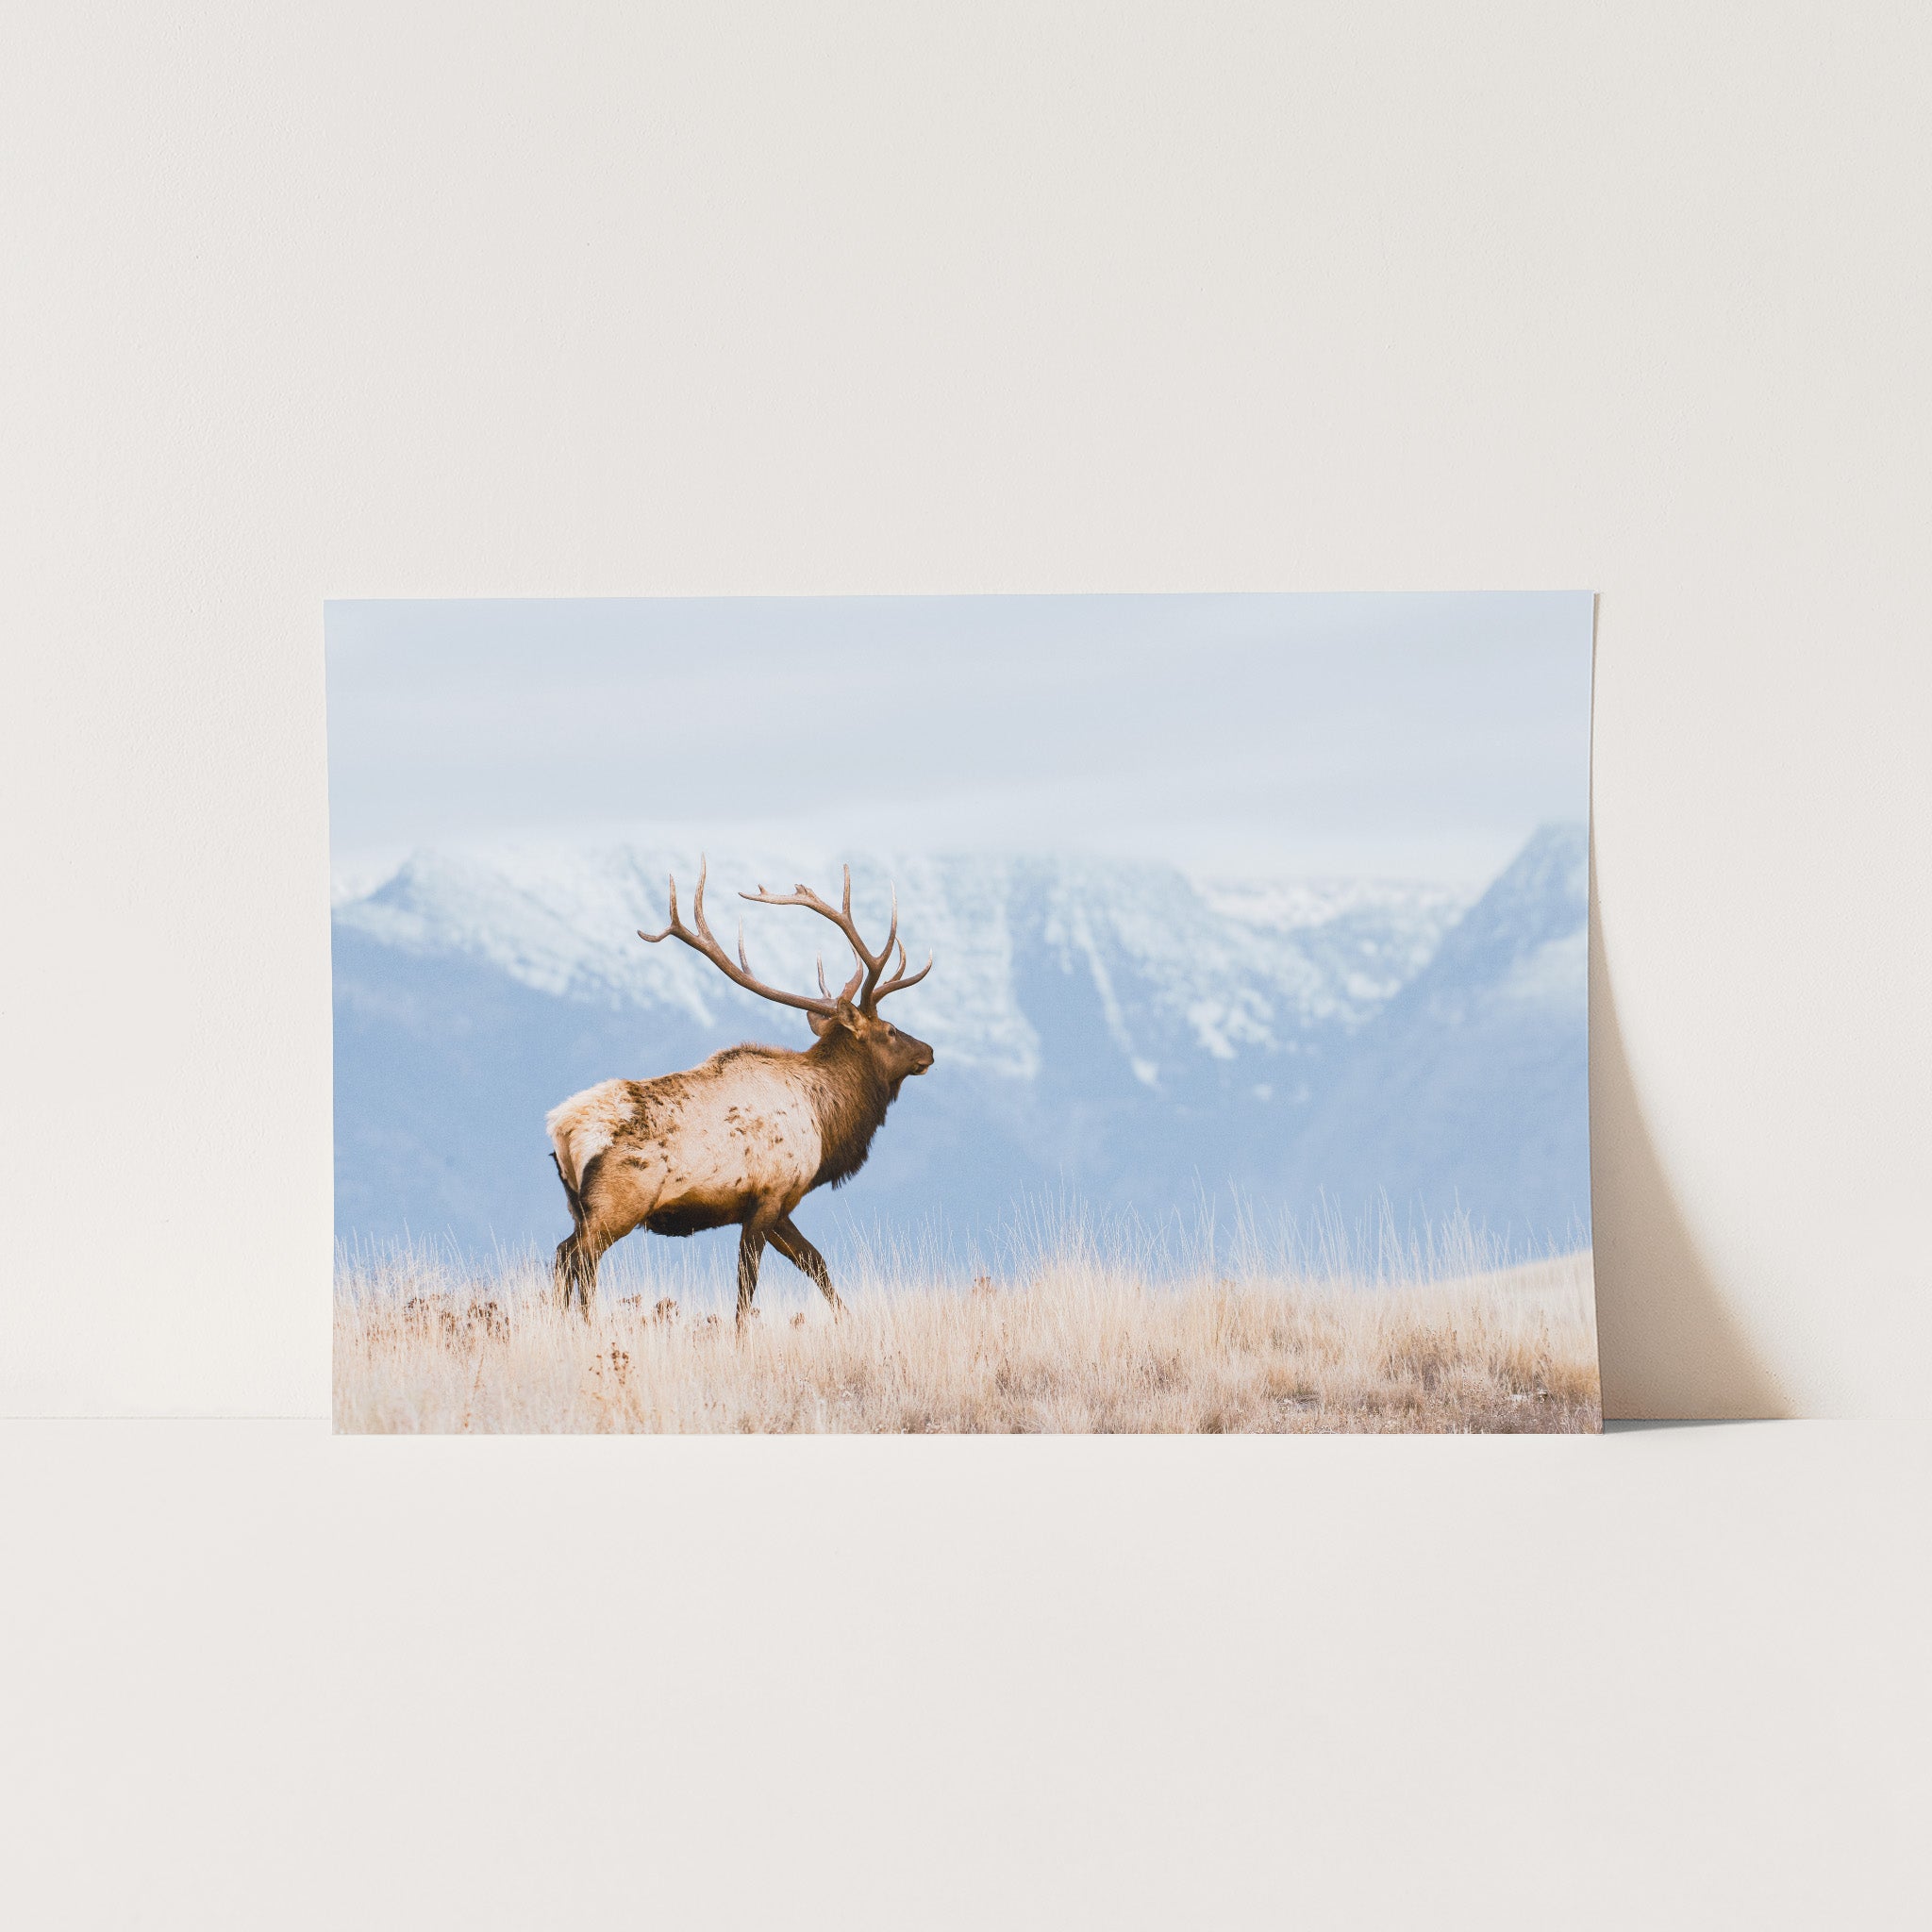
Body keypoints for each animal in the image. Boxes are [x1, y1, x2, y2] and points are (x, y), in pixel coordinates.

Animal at [544, 865, 935, 1329]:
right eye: (890, 1030)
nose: (929, 1051)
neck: (826, 1122)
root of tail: (562, 1128)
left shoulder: (781, 1205)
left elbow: (816, 1263)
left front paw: (849, 1321)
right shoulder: (768, 1195)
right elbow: (747, 1287)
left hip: (578, 1205)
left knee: (568, 1256)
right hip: (618, 1202)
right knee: (576, 1257)